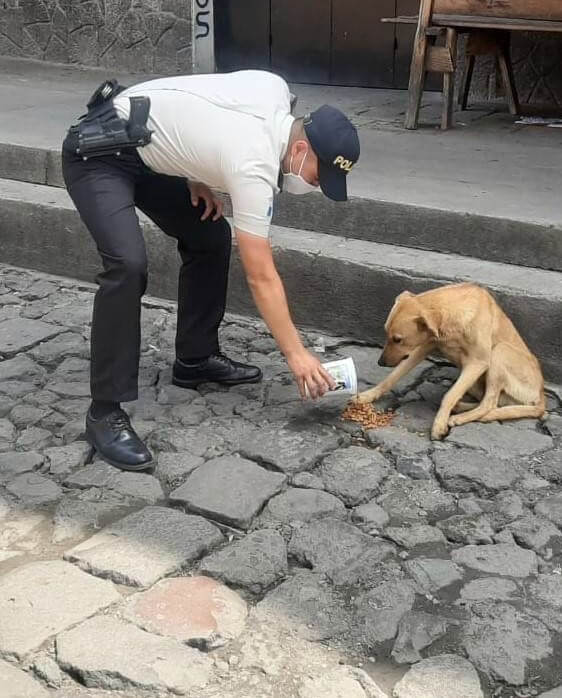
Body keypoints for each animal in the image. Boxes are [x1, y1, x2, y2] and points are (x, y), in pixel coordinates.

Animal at [354, 282, 544, 436]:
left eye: (397, 339)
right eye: (387, 334)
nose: (380, 363)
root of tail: (541, 395)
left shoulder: (478, 362)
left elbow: (449, 395)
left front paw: (438, 424)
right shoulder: (424, 347)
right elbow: (392, 376)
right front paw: (368, 395)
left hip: (498, 352)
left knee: (489, 404)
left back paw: (461, 417)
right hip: (474, 381)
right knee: (490, 402)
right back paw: (460, 408)